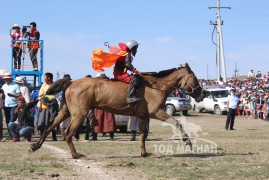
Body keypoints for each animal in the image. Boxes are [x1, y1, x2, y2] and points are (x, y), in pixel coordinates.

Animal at [29, 63, 203, 159]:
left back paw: (35, 146)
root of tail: (71, 82)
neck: (156, 86)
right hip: (79, 114)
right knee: (68, 133)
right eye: (195, 78)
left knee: (49, 127)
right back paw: (76, 155)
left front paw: (144, 153)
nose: (202, 94)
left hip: (65, 112)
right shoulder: (156, 112)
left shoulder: (143, 116)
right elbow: (177, 122)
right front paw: (187, 141)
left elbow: (142, 135)